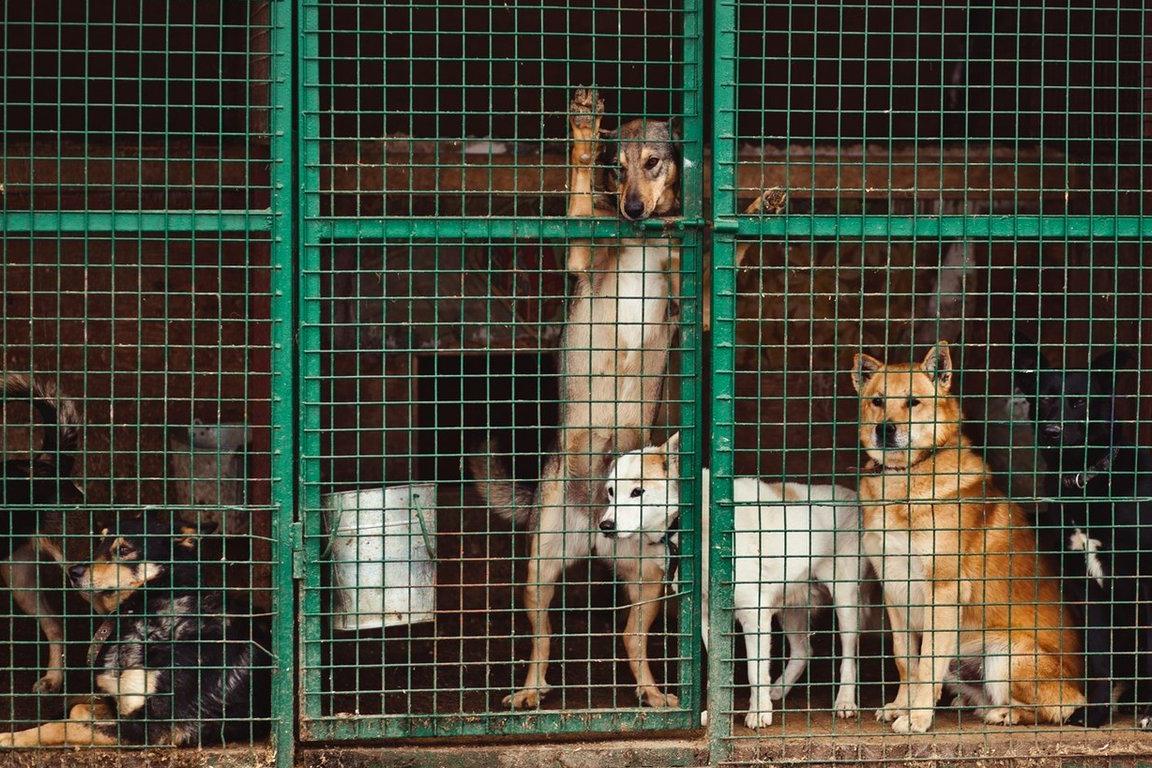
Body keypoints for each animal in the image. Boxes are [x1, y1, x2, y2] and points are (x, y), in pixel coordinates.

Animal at [0, 520, 271, 746]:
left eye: (123, 549)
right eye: (99, 542)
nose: (73, 572)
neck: (146, 607)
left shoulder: (153, 726)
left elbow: (65, 727)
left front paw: (10, 737)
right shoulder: (119, 703)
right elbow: (79, 712)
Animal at [852, 340, 1082, 732]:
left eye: (913, 401)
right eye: (878, 401)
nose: (885, 429)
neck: (905, 478)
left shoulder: (943, 590)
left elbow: (927, 663)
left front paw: (917, 717)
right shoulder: (894, 589)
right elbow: (905, 660)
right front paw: (901, 706)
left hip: (1009, 651)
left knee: (1060, 708)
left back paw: (1004, 713)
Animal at [1018, 345, 1152, 732]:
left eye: (1080, 402)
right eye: (1045, 398)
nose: (1052, 431)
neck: (1085, 484)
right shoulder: (1086, 588)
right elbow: (1098, 658)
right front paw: (1096, 712)